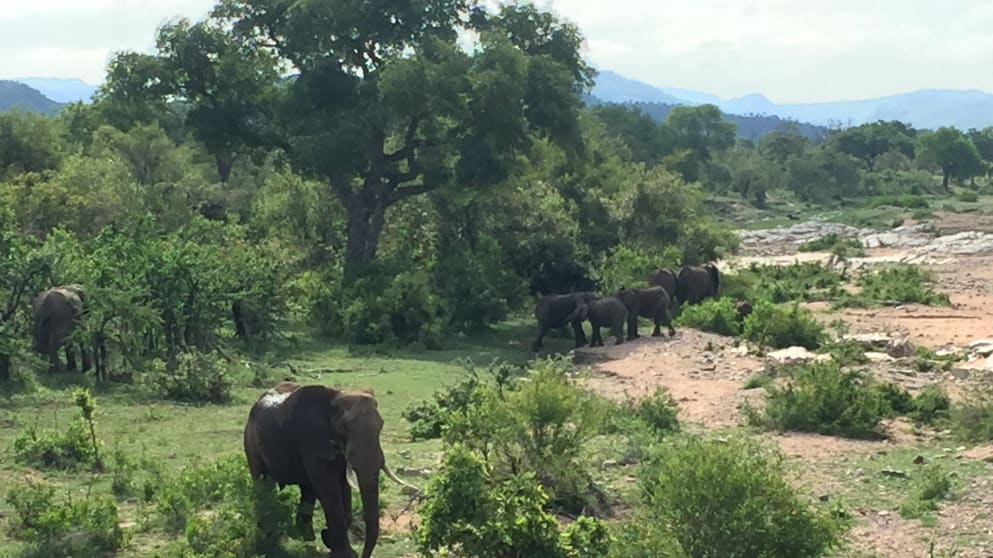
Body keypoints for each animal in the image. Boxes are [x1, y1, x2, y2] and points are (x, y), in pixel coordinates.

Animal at [243, 381, 419, 558]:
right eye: (344, 428)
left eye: (381, 426)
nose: (362, 555)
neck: (337, 397)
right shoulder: (312, 438)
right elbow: (328, 485)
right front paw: (344, 553)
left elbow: (344, 484)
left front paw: (328, 538)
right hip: (250, 440)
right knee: (263, 482)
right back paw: (269, 534)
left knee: (307, 488)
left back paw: (305, 537)